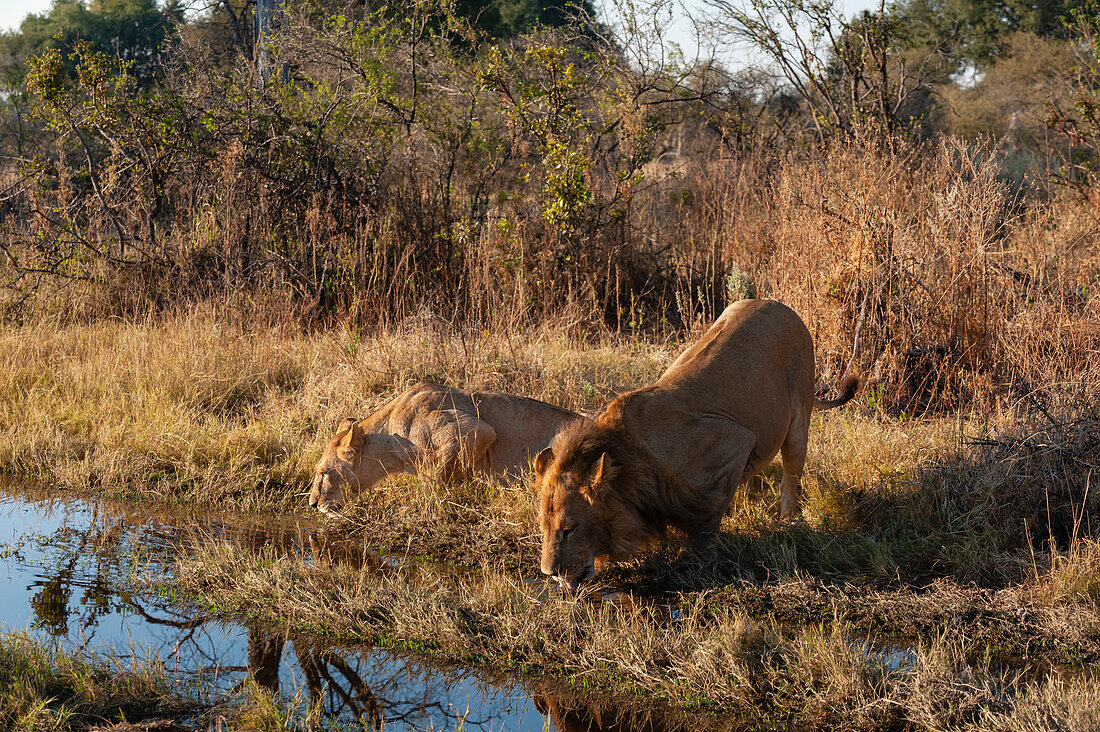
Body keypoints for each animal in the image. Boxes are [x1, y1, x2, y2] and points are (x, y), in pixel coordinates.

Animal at [532, 297, 858, 590]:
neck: (633, 458)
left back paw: (787, 523)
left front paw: (703, 562)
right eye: (544, 527)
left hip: (798, 421)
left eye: (569, 529)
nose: (549, 573)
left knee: (792, 476)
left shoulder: (736, 441)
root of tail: (782, 306)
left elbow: (707, 519)